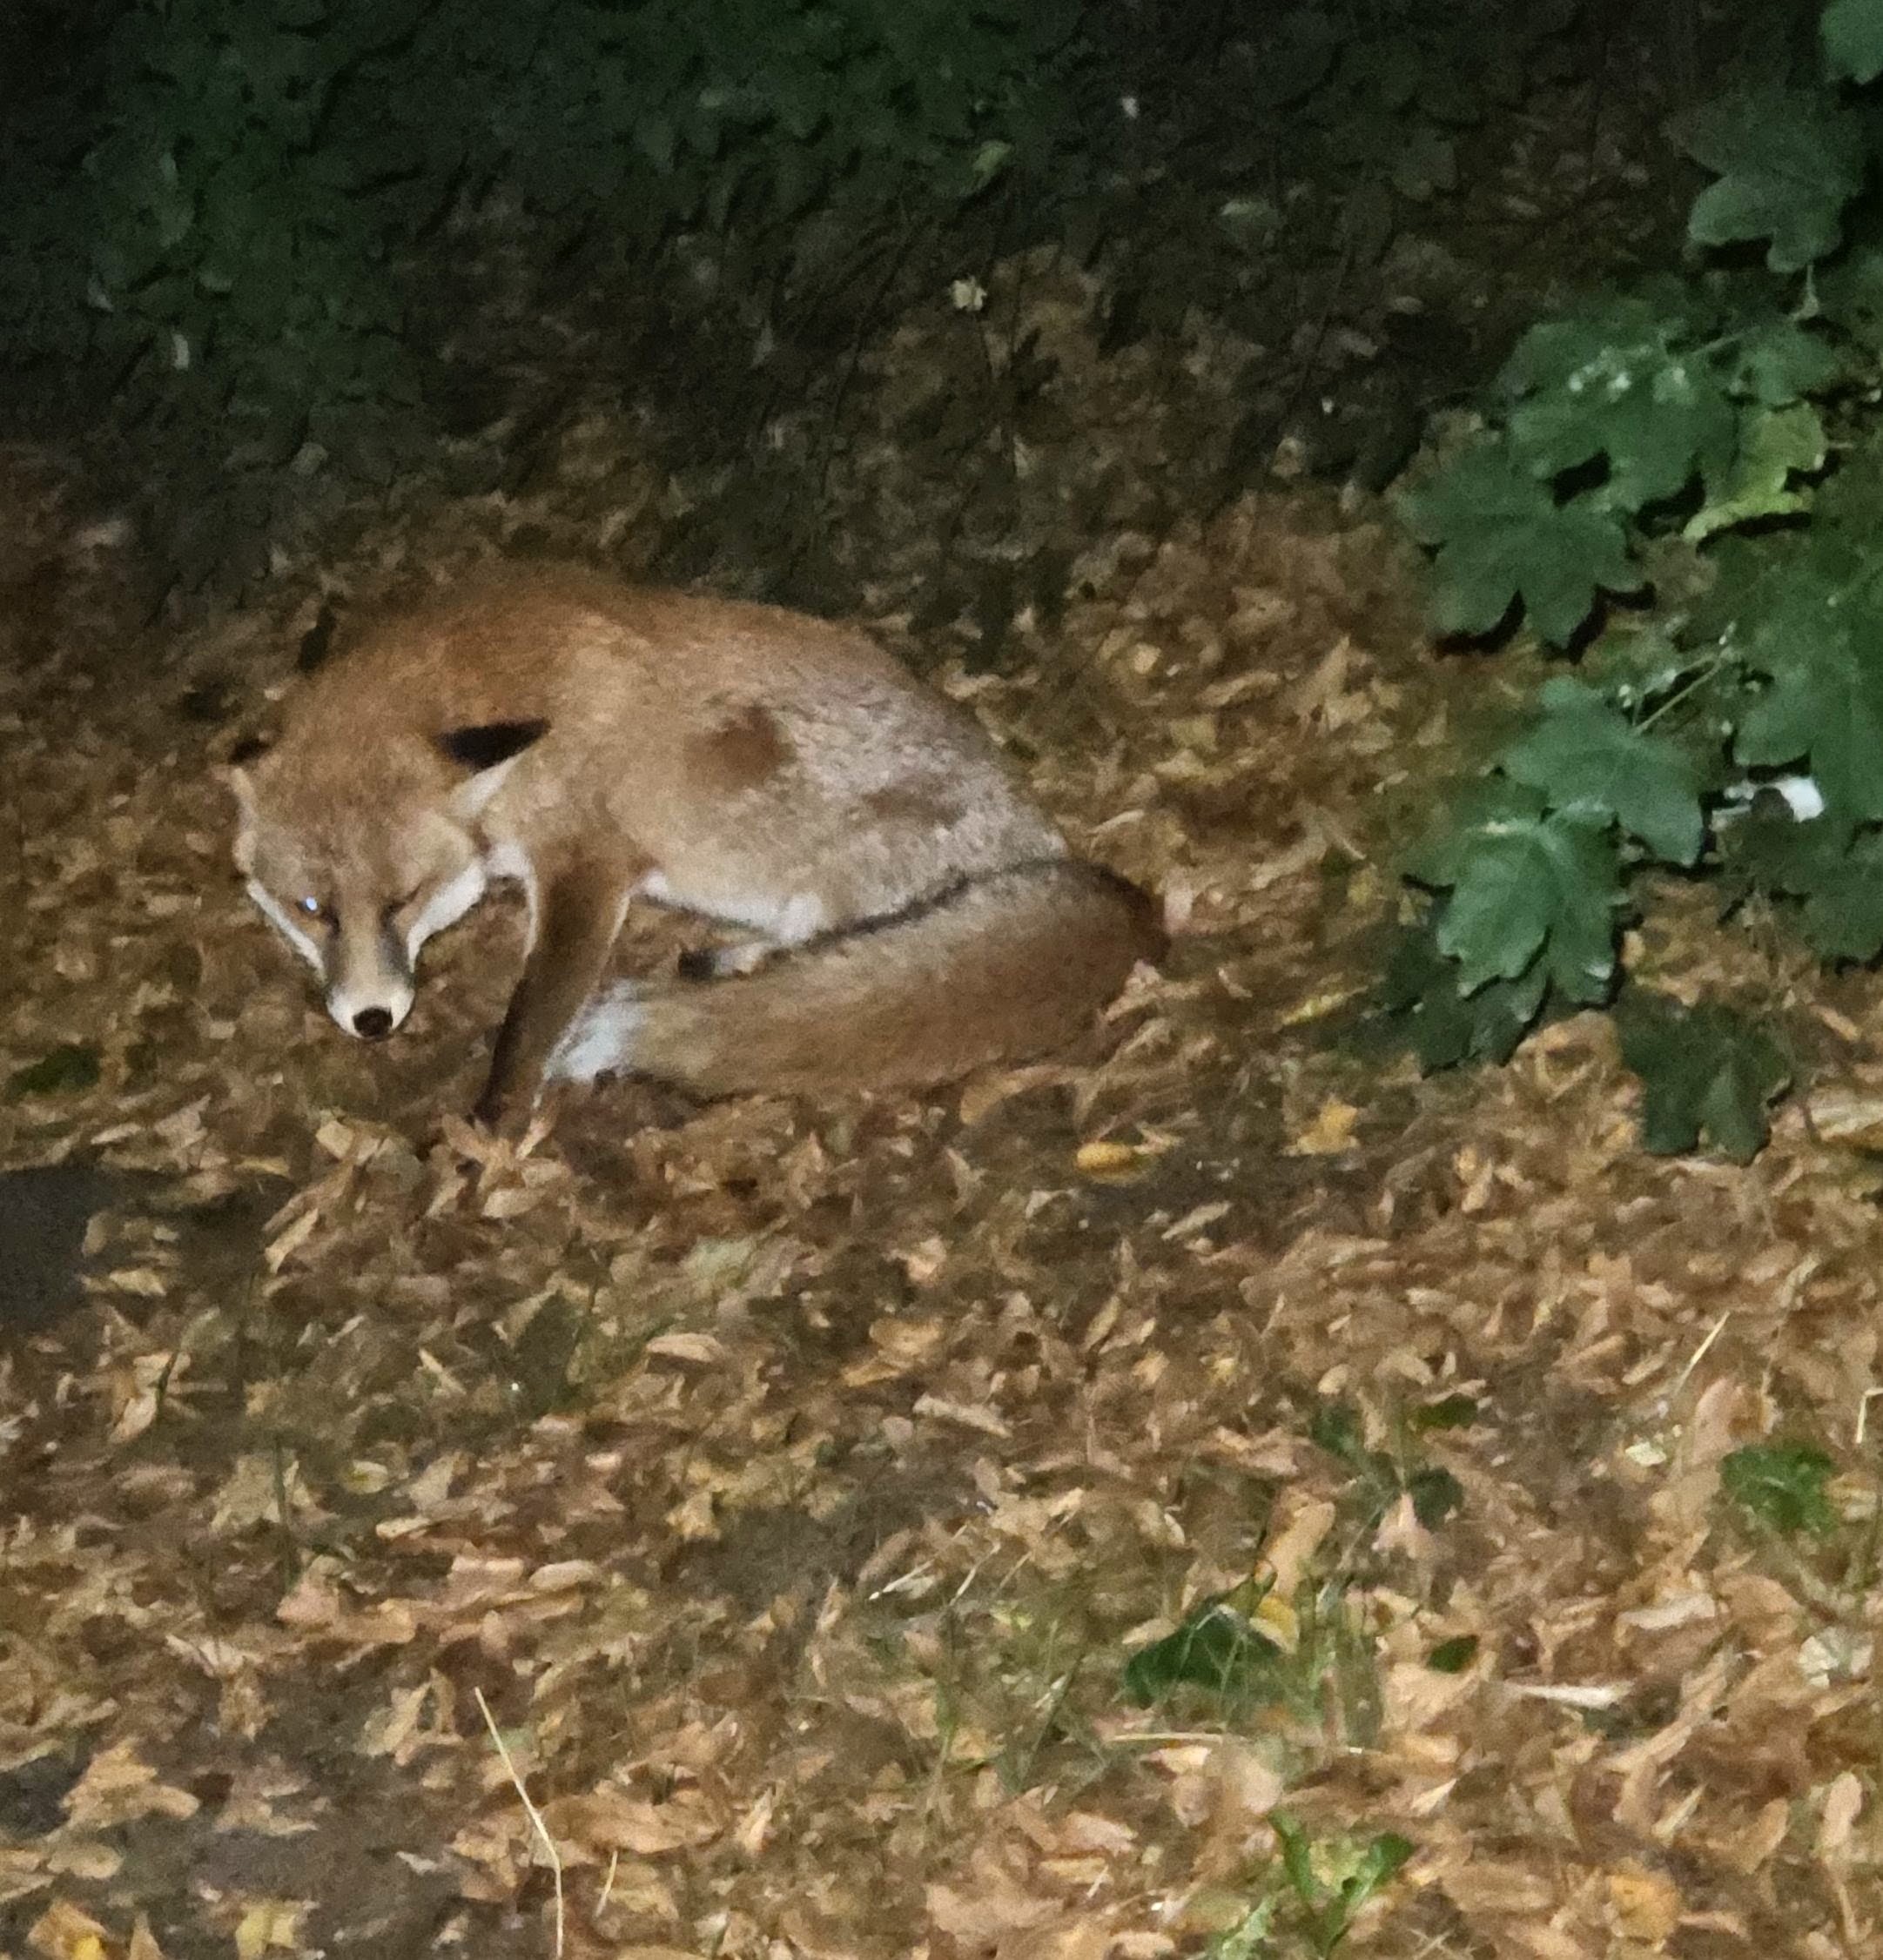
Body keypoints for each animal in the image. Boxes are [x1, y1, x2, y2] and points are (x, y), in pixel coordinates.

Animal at [228, 562, 1164, 1131]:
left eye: (403, 901)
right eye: (310, 909)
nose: (371, 1019)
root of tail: (1082, 874)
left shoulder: (587, 865)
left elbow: (531, 1017)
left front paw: (489, 1122)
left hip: (847, 882)